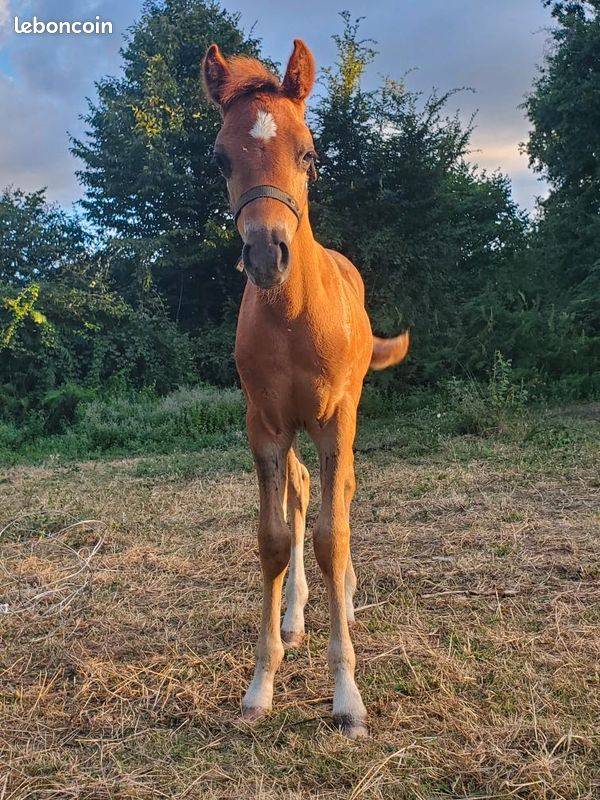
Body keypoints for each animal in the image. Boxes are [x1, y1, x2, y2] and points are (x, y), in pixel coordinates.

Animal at [203, 39, 409, 739]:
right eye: (221, 157)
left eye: (309, 152)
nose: (268, 253)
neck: (292, 316)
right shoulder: (265, 423)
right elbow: (273, 539)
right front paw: (259, 685)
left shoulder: (333, 418)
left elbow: (331, 536)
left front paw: (348, 697)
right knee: (297, 491)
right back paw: (295, 618)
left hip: (341, 416)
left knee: (338, 495)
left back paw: (345, 592)